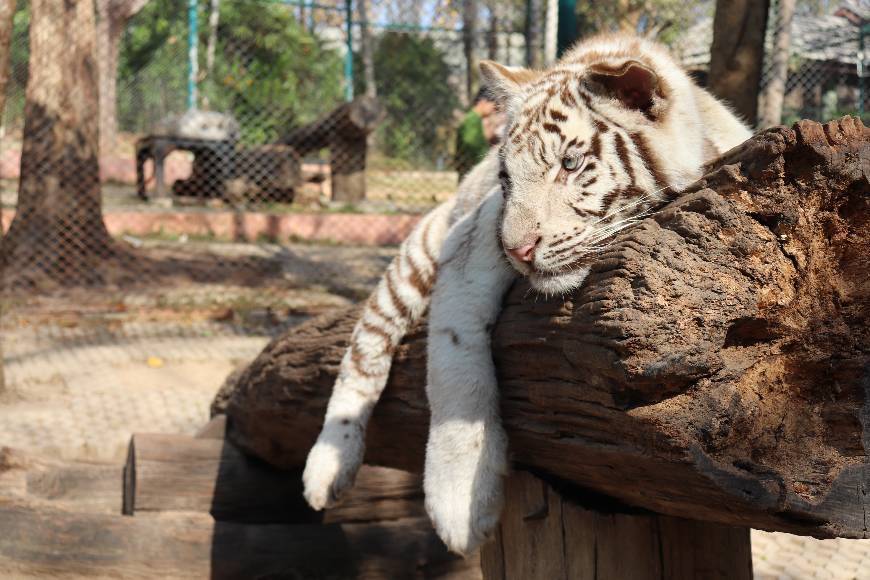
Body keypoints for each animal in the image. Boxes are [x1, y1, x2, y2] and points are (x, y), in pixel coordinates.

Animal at [303, 34, 752, 554]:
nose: (516, 251)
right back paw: (326, 469)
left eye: (570, 164)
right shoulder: (468, 242)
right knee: (364, 350)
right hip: (417, 256)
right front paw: (458, 499)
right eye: (506, 179)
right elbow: (453, 366)